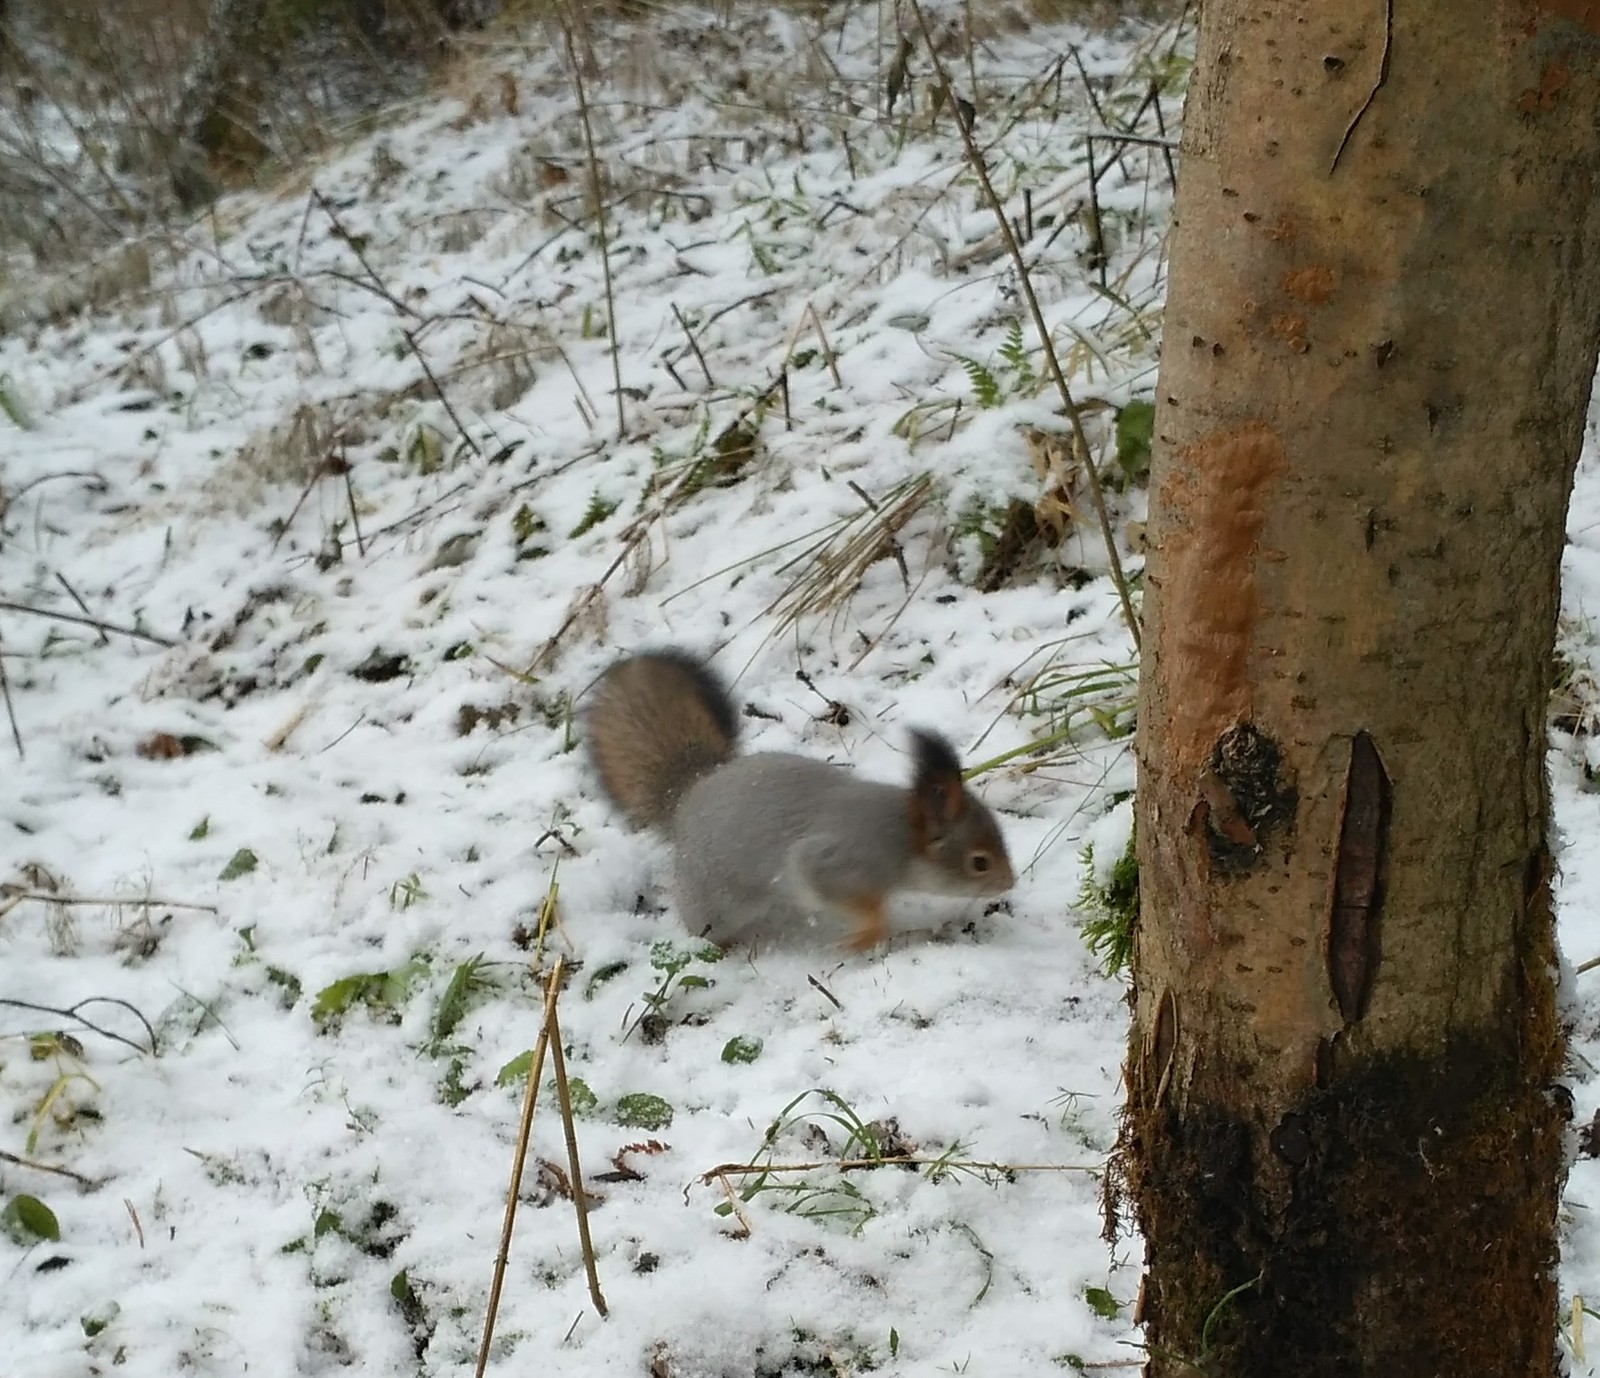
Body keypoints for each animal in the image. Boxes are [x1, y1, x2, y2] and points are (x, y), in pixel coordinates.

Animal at [585, 649, 1011, 953]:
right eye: (979, 863)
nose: (1010, 882)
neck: (900, 834)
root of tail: (689, 794)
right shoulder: (836, 863)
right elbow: (855, 901)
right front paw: (867, 934)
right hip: (713, 902)